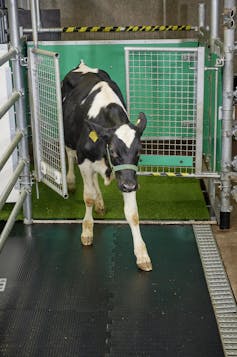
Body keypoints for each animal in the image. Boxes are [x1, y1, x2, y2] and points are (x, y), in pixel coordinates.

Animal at [62, 61, 152, 270]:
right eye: (113, 151)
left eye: (139, 151)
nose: (129, 186)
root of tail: (82, 65)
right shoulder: (84, 161)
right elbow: (87, 197)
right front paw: (87, 230)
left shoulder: (127, 175)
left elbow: (133, 214)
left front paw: (142, 254)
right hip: (68, 139)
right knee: (69, 155)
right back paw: (70, 181)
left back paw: (101, 203)